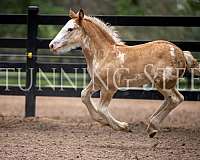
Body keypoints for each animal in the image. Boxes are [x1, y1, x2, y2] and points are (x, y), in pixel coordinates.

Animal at [48, 8, 200, 137]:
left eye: (70, 29)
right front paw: (103, 121)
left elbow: (102, 108)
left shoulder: (110, 87)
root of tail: (181, 53)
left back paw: (152, 126)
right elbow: (84, 96)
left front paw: (122, 126)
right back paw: (151, 125)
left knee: (174, 99)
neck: (104, 54)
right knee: (176, 98)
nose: (51, 45)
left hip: (162, 83)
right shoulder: (97, 83)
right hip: (165, 84)